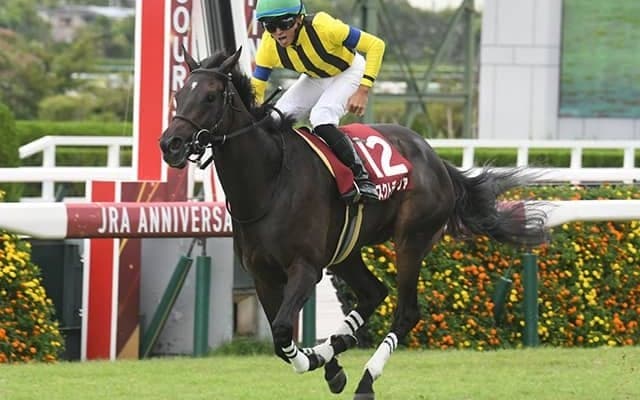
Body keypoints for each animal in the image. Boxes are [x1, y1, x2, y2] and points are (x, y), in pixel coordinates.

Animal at [159, 48, 547, 400]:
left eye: (210, 96)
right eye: (179, 94)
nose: (171, 144)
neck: (270, 182)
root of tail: (437, 160)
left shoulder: (306, 268)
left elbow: (283, 331)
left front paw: (318, 360)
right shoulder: (262, 275)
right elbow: (279, 339)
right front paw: (325, 360)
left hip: (412, 240)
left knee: (406, 312)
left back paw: (365, 380)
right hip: (347, 251)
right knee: (374, 293)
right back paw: (338, 348)